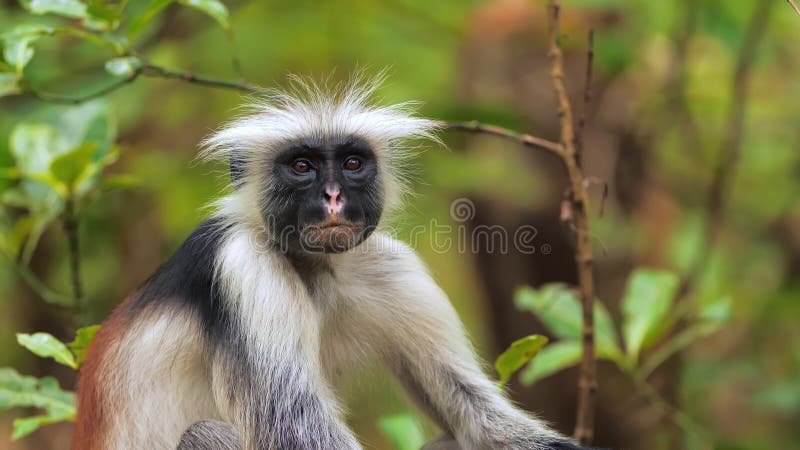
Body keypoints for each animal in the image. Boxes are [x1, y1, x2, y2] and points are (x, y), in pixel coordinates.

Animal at [72, 75, 592, 448]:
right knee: (207, 433)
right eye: (302, 167)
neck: (315, 269)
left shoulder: (394, 269)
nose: (333, 196)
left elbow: (475, 413)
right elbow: (293, 427)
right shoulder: (243, 266)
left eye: (352, 164)